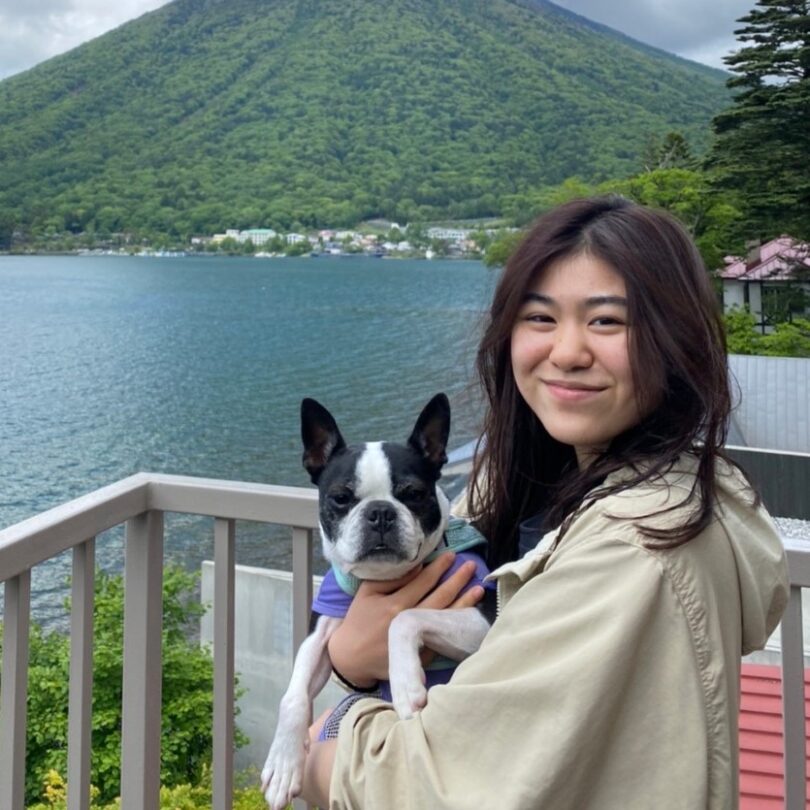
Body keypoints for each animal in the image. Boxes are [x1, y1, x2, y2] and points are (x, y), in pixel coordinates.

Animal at [262, 392, 490, 808]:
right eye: (340, 498)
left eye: (414, 494)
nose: (380, 512)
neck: (382, 579)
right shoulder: (321, 634)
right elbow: (293, 695)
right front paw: (284, 762)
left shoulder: (483, 616)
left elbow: (404, 617)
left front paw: (406, 684)